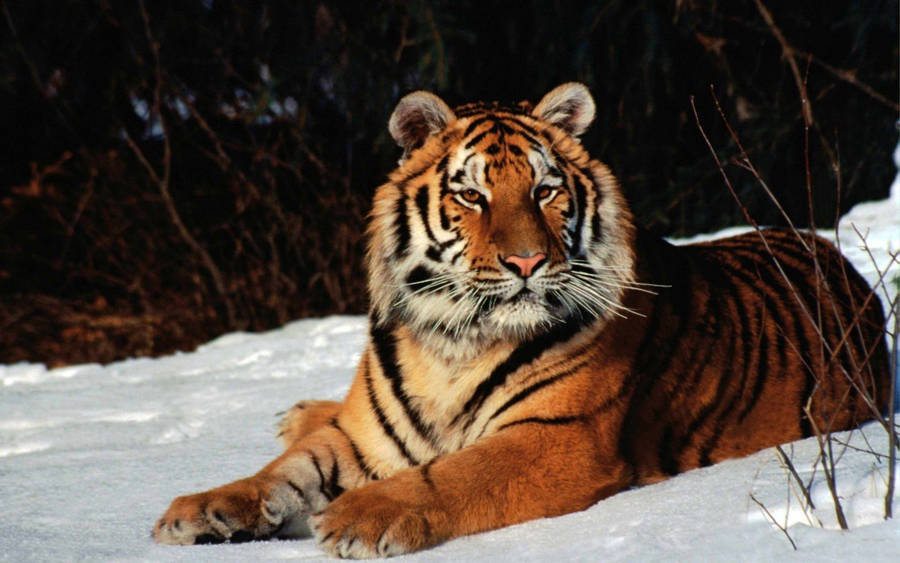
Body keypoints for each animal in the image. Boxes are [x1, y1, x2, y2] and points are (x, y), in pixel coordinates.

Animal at [152, 83, 891, 557]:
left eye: (545, 189)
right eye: (472, 195)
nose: (528, 260)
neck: (451, 342)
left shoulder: (555, 437)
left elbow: (449, 474)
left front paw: (360, 516)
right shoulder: (364, 435)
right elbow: (282, 472)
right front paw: (199, 510)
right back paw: (297, 411)